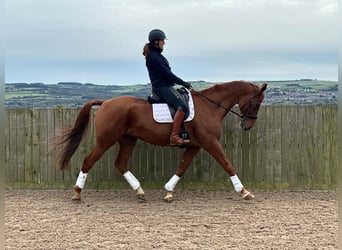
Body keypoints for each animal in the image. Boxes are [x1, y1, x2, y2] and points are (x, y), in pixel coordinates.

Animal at [56, 81, 268, 202]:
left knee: (120, 163)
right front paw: (244, 192)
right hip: (105, 140)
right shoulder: (210, 143)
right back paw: (77, 193)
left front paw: (168, 191)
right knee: (88, 161)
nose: (248, 125)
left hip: (128, 139)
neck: (210, 106)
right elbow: (227, 164)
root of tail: (106, 102)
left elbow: (182, 167)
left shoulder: (194, 145)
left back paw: (139, 192)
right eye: (257, 102)